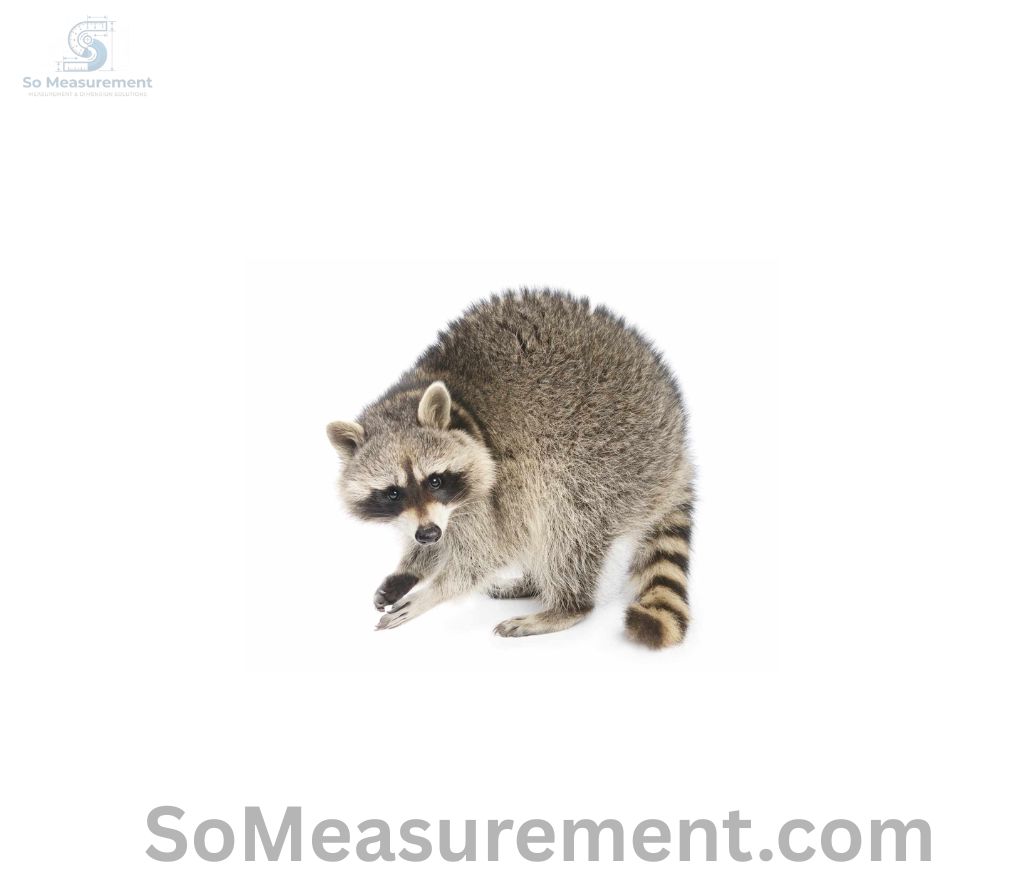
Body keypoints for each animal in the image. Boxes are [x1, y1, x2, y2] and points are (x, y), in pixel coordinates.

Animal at [327, 289, 694, 648]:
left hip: (613, 458)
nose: (428, 534)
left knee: (567, 524)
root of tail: (677, 442)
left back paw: (568, 605)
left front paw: (433, 591)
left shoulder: (498, 484)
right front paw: (411, 566)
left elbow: (486, 554)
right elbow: (446, 538)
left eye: (435, 480)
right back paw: (534, 582)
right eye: (393, 493)